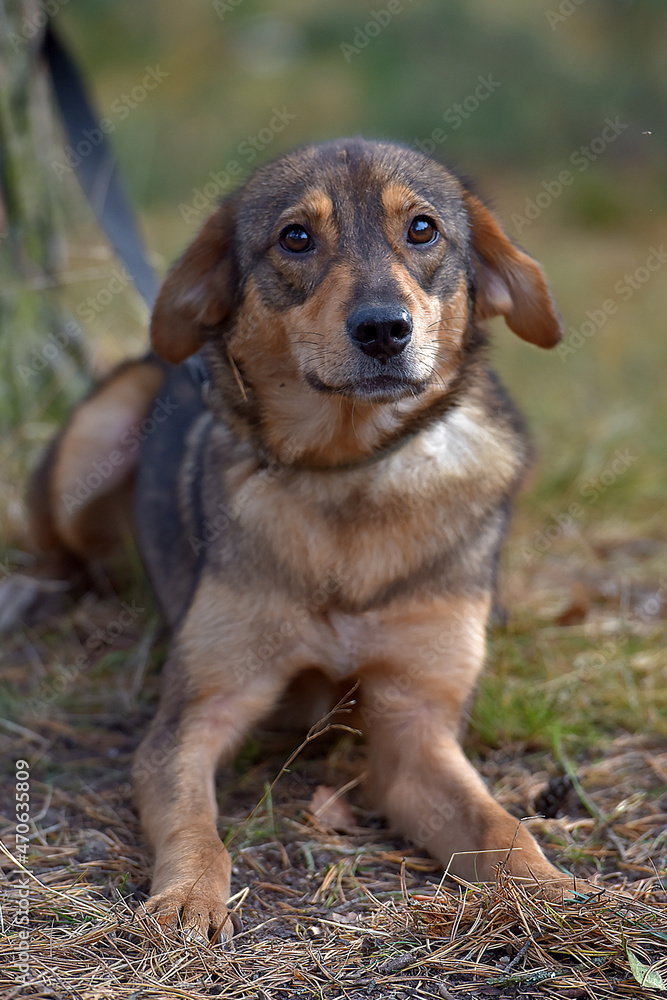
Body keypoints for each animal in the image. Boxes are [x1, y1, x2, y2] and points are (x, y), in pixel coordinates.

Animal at [30, 137, 576, 940]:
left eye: (423, 229)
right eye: (295, 237)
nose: (383, 329)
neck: (347, 473)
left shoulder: (413, 731)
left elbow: (497, 823)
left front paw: (550, 892)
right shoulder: (197, 714)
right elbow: (196, 823)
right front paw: (187, 897)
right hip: (94, 439)